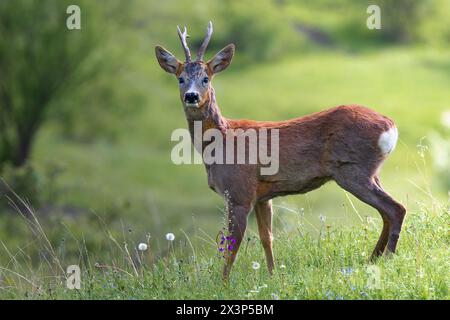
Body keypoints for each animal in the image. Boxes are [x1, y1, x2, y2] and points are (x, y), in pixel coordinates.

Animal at [156, 21, 406, 278]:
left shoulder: (239, 192)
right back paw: (373, 258)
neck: (221, 142)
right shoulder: (262, 196)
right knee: (386, 211)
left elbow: (231, 248)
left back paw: (387, 257)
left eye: (206, 78)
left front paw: (222, 282)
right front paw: (273, 275)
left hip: (352, 171)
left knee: (396, 208)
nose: (191, 96)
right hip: (371, 172)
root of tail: (390, 125)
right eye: (180, 78)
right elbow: (267, 238)